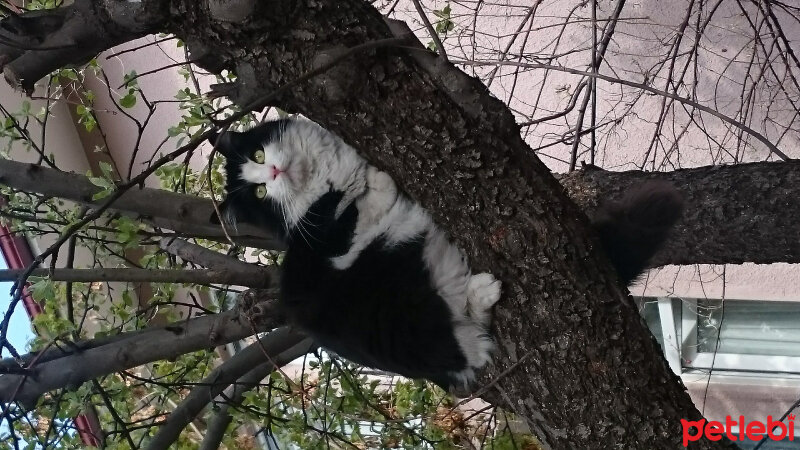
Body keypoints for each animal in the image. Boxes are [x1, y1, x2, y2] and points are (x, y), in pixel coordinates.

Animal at [209, 119, 684, 390]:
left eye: (259, 155)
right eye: (260, 193)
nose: (273, 171)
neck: (319, 182)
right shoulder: (323, 247)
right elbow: (355, 205)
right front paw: (374, 182)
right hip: (391, 300)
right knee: (466, 336)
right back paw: (481, 291)